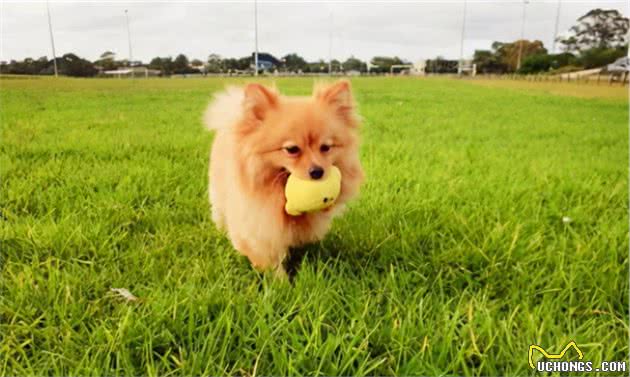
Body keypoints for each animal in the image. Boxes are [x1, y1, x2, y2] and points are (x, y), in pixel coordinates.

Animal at [206, 80, 366, 276]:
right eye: (291, 149)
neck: (281, 196)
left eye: (326, 147)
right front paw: (280, 282)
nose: (317, 171)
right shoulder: (258, 228)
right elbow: (269, 259)